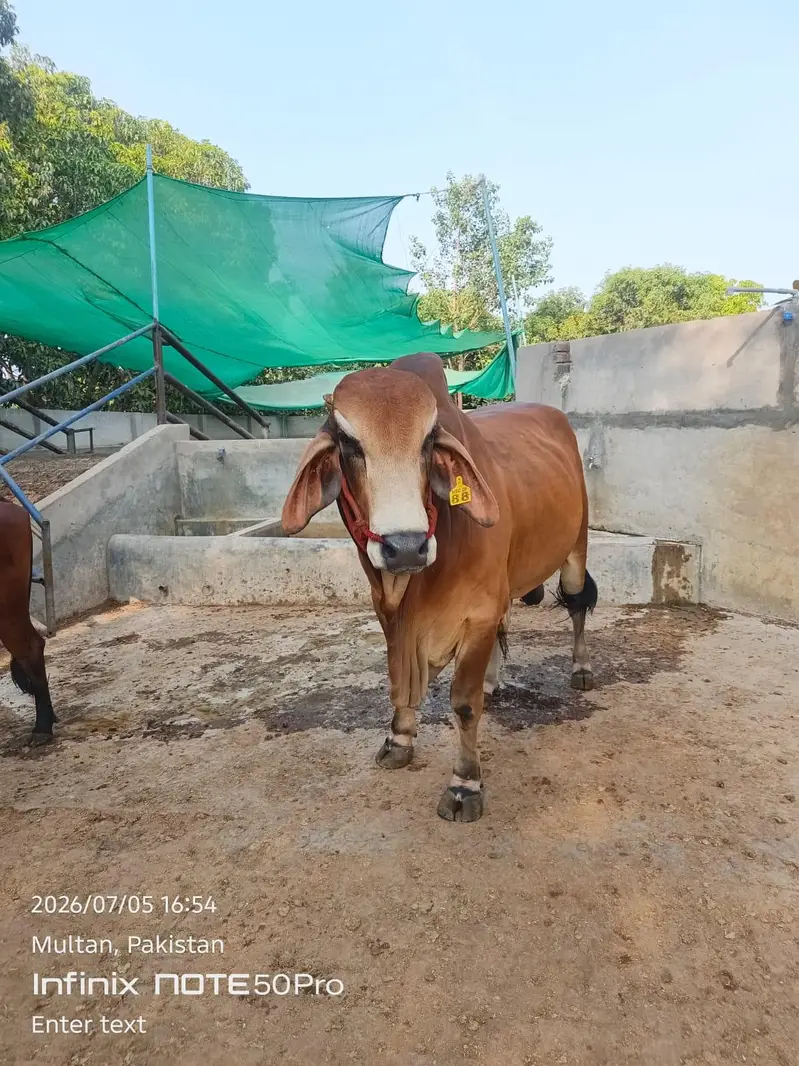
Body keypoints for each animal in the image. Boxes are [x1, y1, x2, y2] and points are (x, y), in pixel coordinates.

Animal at [282, 352, 596, 822]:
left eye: (429, 442)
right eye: (349, 445)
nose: (405, 546)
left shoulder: (478, 612)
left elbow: (463, 703)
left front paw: (465, 785)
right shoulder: (388, 611)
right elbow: (398, 679)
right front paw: (399, 739)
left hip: (576, 549)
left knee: (576, 606)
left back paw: (580, 669)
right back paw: (492, 680)